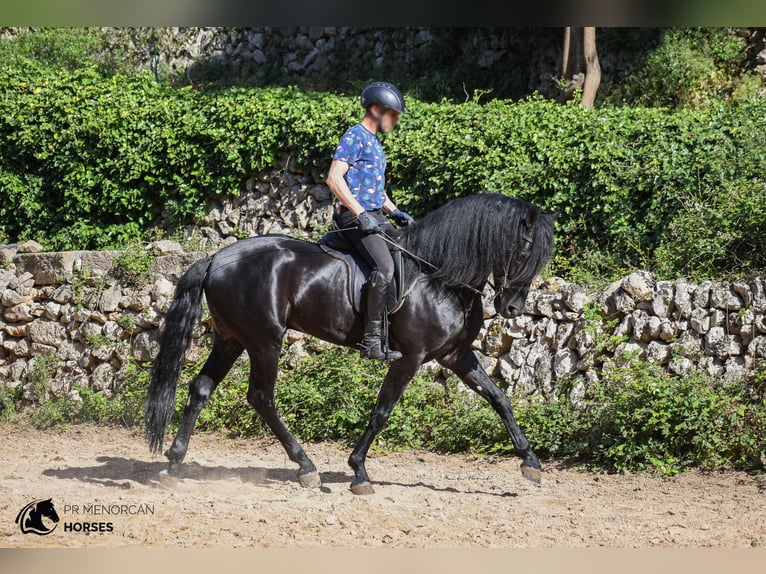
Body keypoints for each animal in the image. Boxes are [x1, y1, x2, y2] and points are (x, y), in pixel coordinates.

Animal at [146, 194, 552, 496]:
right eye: (524, 249)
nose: (512, 308)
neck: (439, 277)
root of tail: (216, 258)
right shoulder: (410, 358)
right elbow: (382, 411)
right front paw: (359, 471)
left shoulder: (456, 355)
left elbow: (499, 399)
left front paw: (530, 463)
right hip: (264, 341)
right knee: (261, 397)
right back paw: (306, 467)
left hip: (231, 339)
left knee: (201, 388)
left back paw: (174, 464)